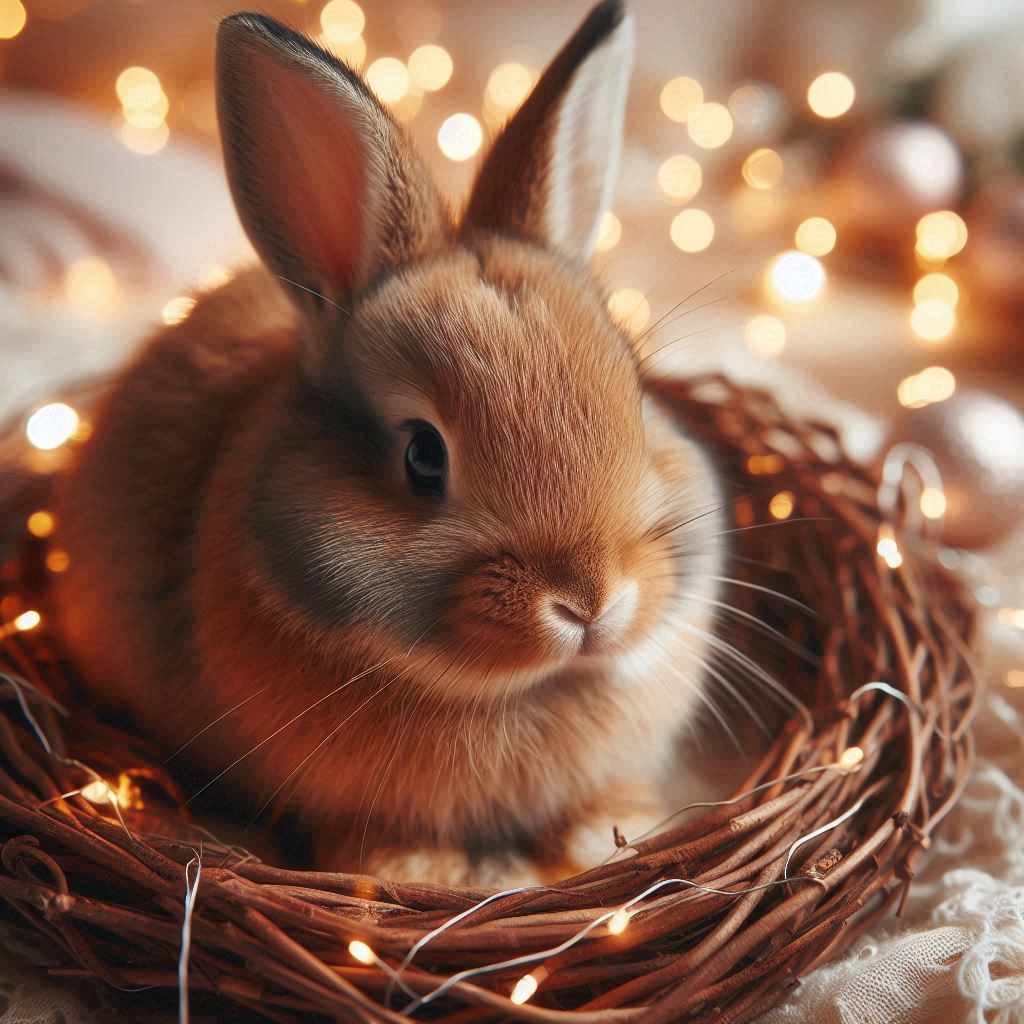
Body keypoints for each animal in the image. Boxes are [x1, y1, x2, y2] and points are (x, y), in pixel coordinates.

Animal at [51, 0, 726, 885]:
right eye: (422, 457)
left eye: (639, 398)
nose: (590, 602)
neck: (524, 690)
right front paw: (417, 871)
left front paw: (609, 837)